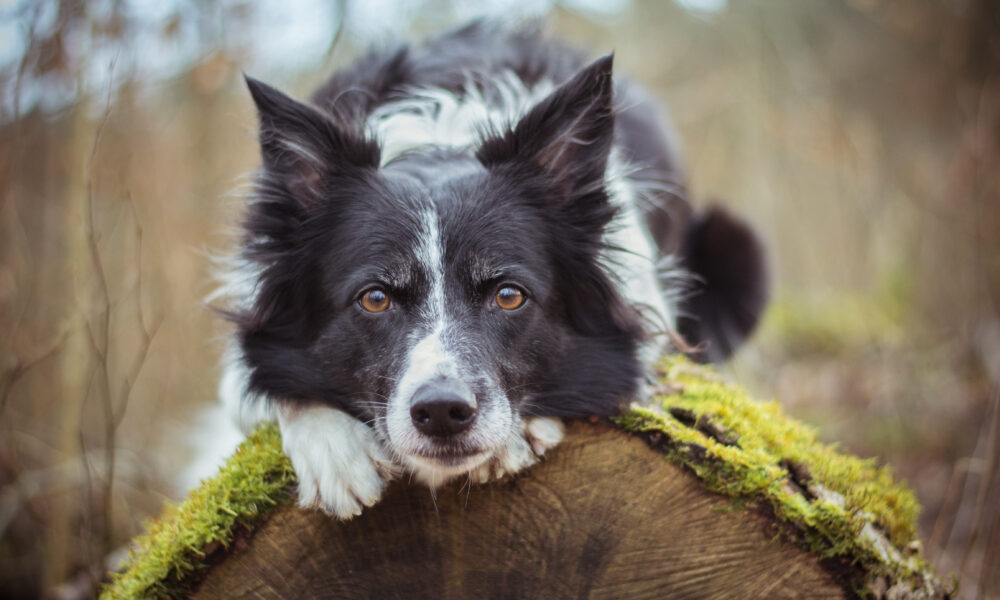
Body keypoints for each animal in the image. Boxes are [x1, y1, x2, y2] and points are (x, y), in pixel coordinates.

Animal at [217, 23, 764, 516]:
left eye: (509, 295)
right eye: (374, 298)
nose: (442, 412)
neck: (437, 144)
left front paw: (519, 433)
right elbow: (263, 381)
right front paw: (334, 451)